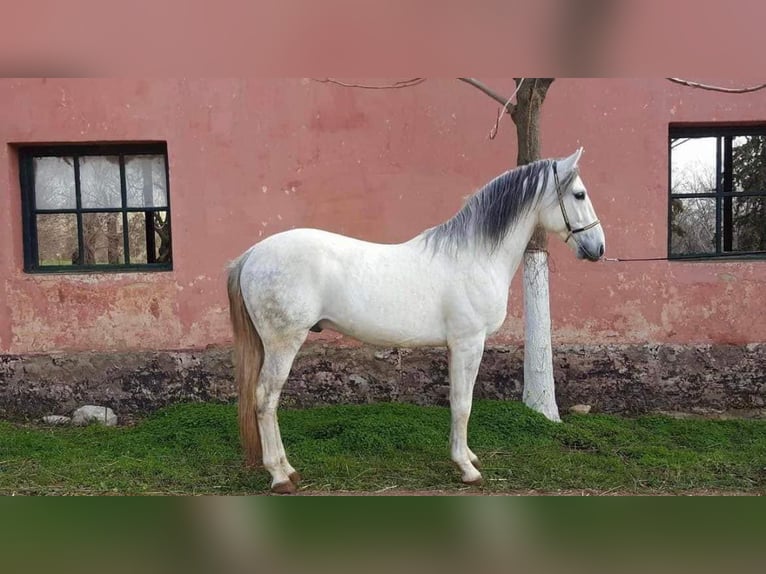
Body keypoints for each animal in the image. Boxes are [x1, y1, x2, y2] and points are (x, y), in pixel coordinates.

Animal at [227, 148, 605, 493]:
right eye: (579, 194)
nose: (598, 248)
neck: (475, 256)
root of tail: (251, 255)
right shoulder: (469, 343)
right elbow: (464, 403)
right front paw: (466, 469)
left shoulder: (456, 347)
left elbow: (456, 401)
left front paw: (466, 455)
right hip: (283, 342)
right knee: (266, 398)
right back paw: (279, 476)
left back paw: (289, 470)